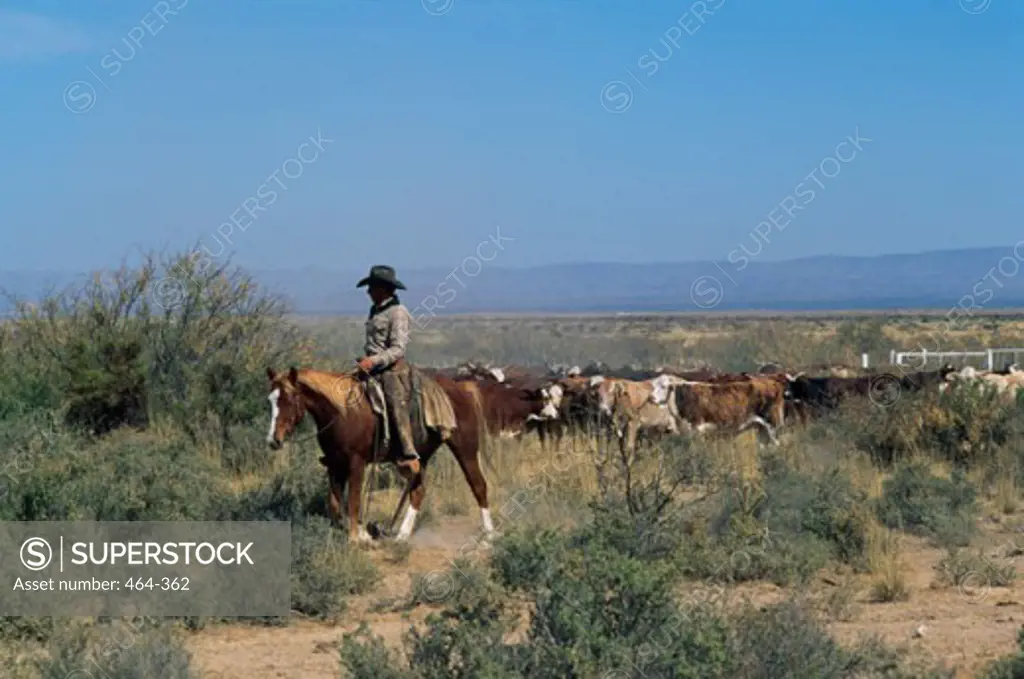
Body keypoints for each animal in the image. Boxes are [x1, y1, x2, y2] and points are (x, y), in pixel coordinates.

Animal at [266, 366, 493, 548]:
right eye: (270, 400)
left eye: (289, 399)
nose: (273, 440)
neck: (343, 412)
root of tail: (462, 388)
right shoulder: (334, 464)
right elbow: (335, 503)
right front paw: (343, 532)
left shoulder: (356, 463)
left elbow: (354, 500)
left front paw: (355, 538)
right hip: (422, 455)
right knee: (418, 490)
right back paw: (401, 536)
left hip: (465, 448)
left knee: (478, 485)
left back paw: (489, 536)